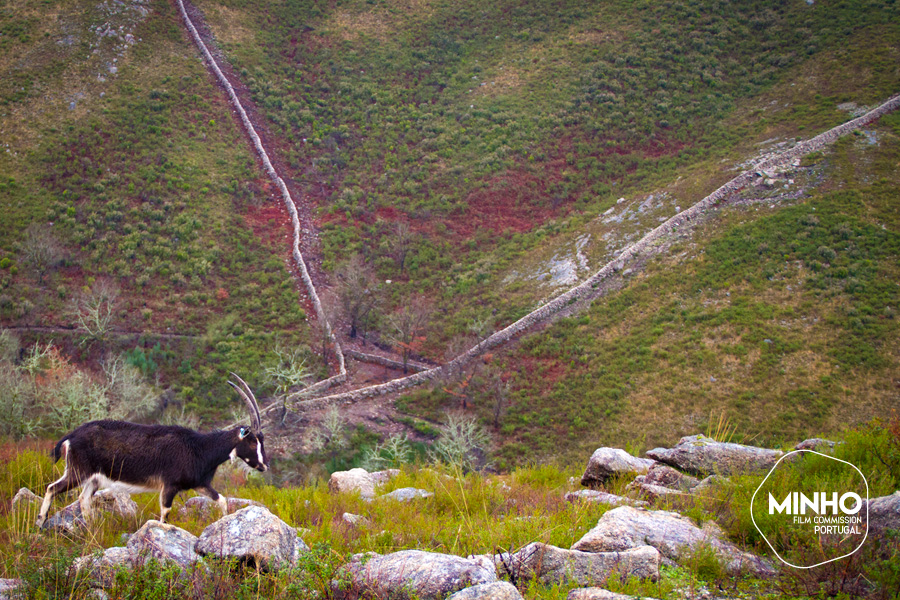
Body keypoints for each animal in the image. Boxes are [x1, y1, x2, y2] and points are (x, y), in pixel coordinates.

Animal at [36, 372, 268, 528]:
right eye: (253, 442)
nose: (264, 466)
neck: (199, 447)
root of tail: (71, 436)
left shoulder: (199, 484)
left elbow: (222, 500)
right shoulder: (170, 485)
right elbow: (165, 513)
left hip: (93, 479)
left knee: (83, 500)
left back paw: (93, 530)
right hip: (78, 472)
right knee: (52, 488)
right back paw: (40, 523)